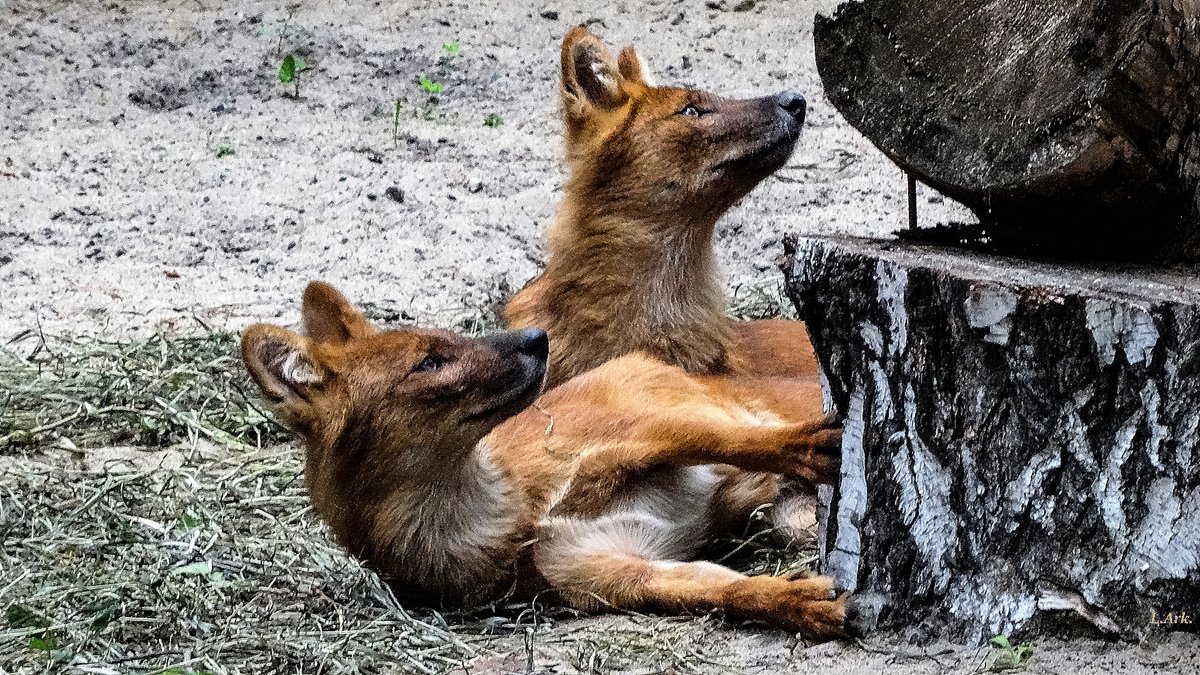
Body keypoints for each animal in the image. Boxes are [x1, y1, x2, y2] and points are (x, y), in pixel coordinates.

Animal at [238, 281, 854, 638]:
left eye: (452, 338)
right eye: (430, 363)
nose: (537, 337)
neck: (514, 516)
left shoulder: (641, 427)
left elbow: (722, 438)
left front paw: (802, 446)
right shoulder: (614, 575)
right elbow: (721, 589)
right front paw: (797, 601)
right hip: (789, 519)